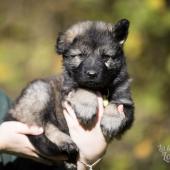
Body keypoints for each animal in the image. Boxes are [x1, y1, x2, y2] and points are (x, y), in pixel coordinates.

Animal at [5, 18, 134, 170]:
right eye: (80, 55)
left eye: (106, 57)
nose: (91, 74)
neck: (101, 88)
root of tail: (12, 111)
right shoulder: (68, 90)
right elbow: (84, 89)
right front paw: (86, 108)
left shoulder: (126, 102)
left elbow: (117, 106)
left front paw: (111, 121)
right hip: (39, 92)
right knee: (42, 126)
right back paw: (65, 141)